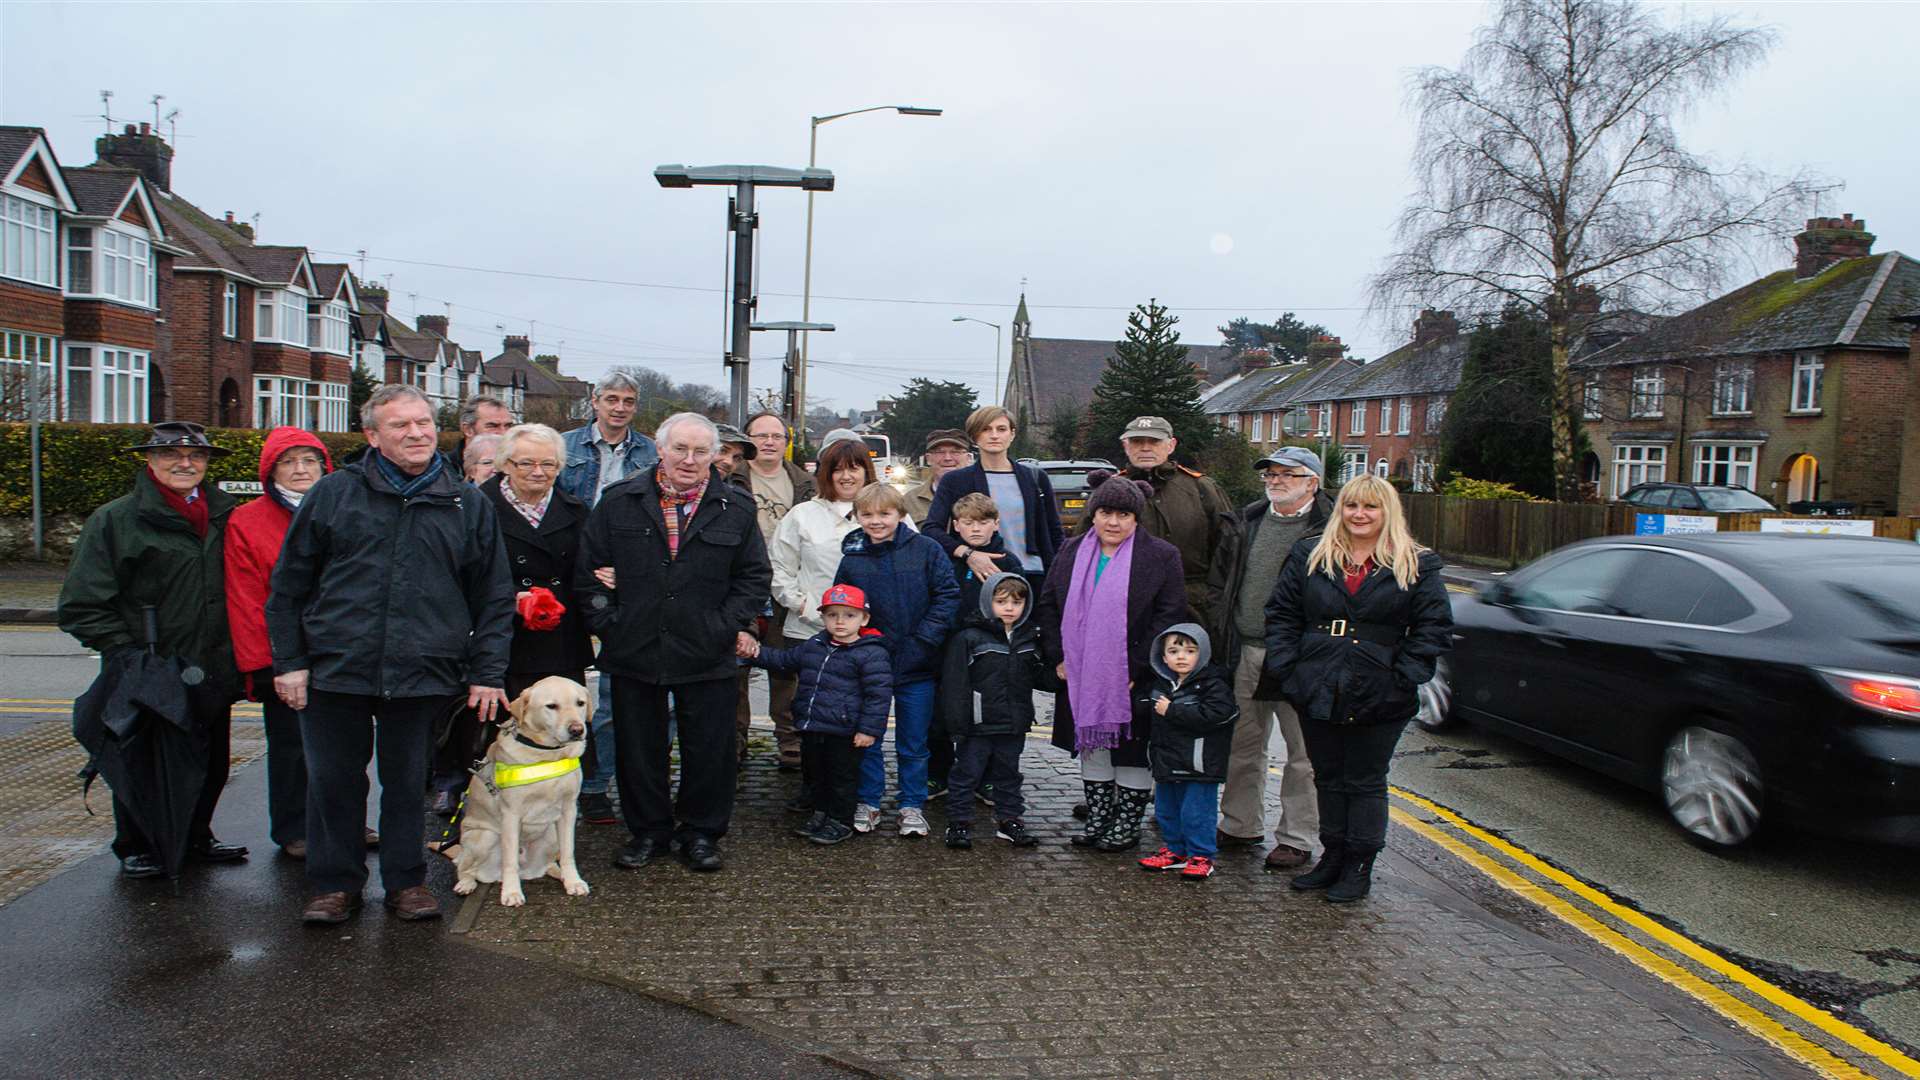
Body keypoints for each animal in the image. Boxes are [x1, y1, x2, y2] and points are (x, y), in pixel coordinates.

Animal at [445, 676, 587, 903]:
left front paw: (573, 881)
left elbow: (568, 852)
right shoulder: (511, 815)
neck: (546, 756)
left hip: (551, 833)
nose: (577, 730)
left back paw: (559, 873)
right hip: (482, 837)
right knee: (464, 866)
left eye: (580, 703)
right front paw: (511, 893)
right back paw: (466, 883)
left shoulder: (568, 810)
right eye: (551, 706)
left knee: (548, 864)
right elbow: (510, 860)